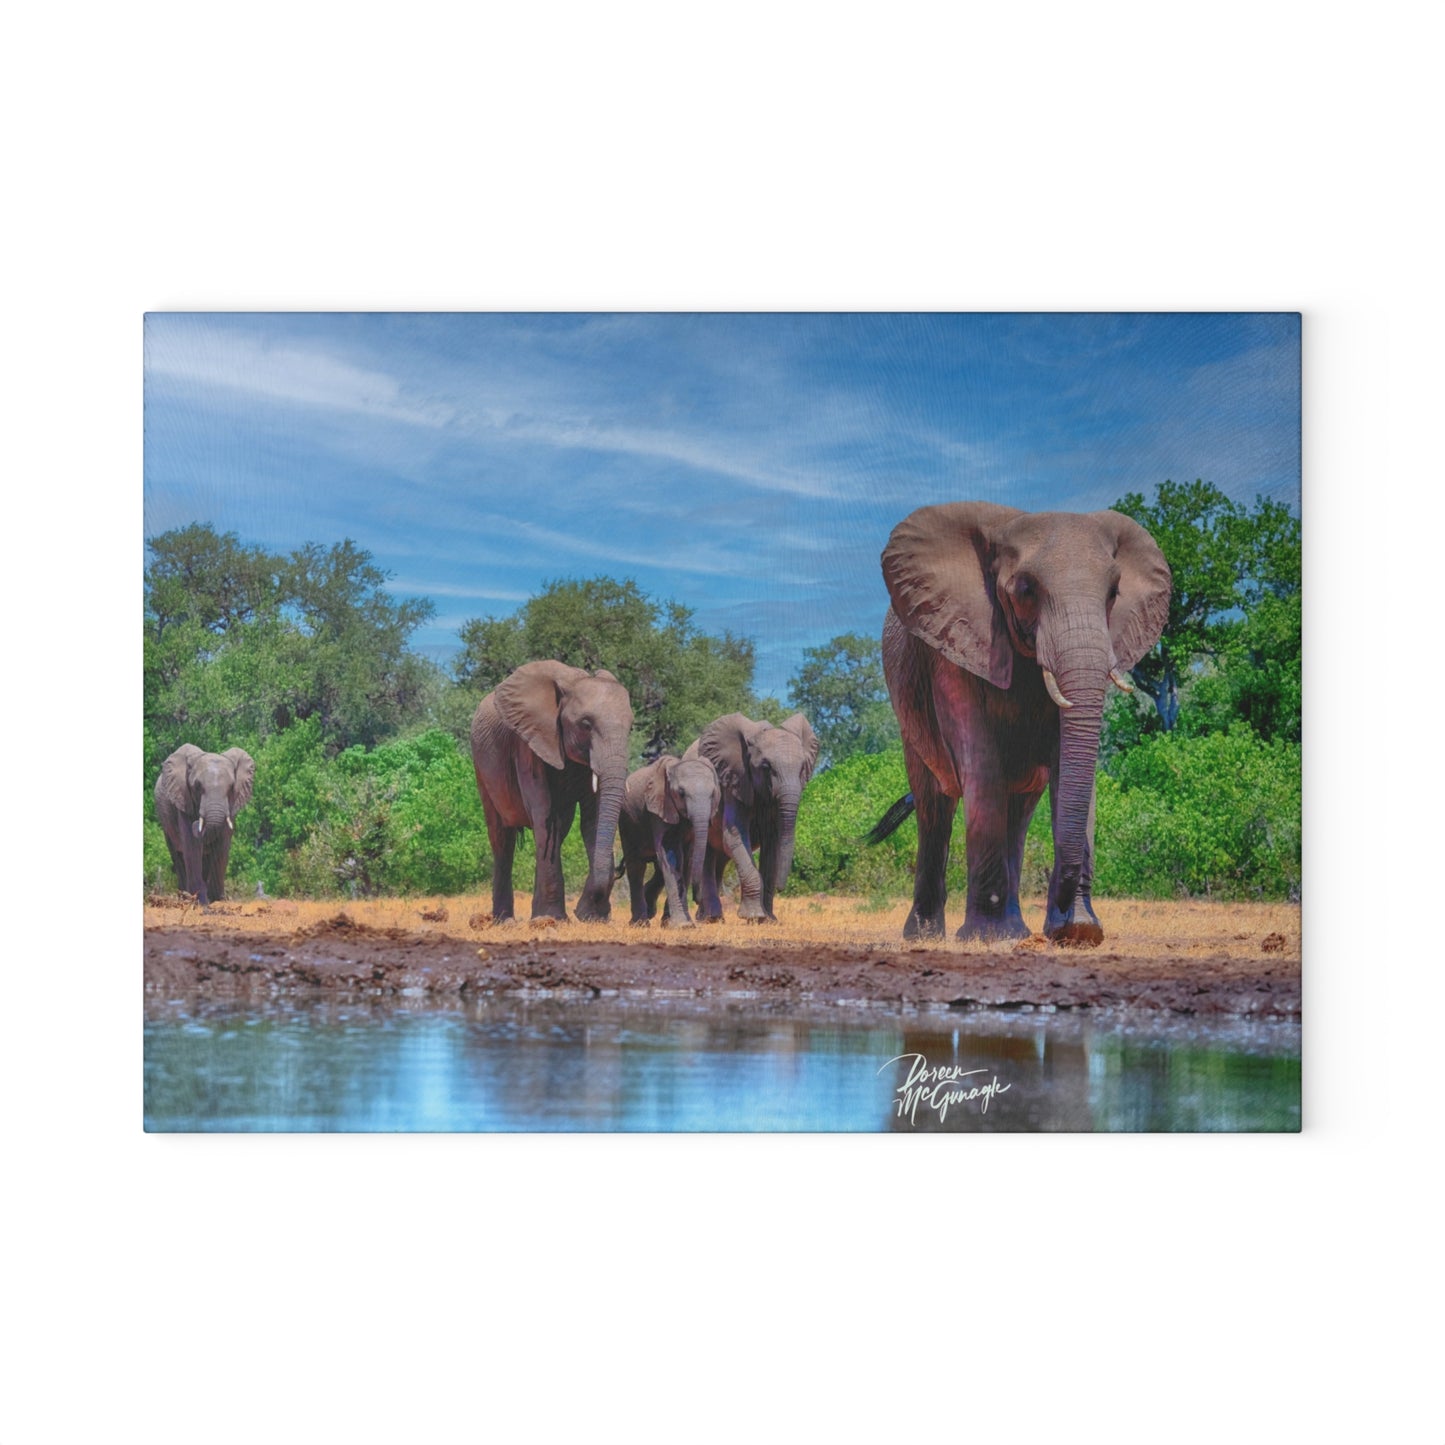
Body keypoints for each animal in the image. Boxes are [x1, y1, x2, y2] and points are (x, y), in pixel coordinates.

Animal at [154, 744, 256, 904]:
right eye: (197, 786)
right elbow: (191, 845)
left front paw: (218, 900)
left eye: (231, 787)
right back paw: (185, 896)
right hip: (165, 823)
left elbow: (223, 845)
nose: (197, 823)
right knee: (177, 855)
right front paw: (198, 900)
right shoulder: (184, 800)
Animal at [470, 660, 634, 922]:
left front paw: (591, 917)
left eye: (631, 729)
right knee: (502, 838)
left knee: (556, 830)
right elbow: (542, 811)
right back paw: (504, 920)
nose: (580, 911)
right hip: (481, 766)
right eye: (586, 725)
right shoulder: (527, 743)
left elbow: (592, 819)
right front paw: (555, 918)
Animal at [617, 754, 723, 927]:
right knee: (636, 866)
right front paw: (682, 925)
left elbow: (687, 860)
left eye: (713, 793)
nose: (697, 899)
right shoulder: (659, 806)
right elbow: (670, 854)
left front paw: (681, 924)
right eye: (681, 793)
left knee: (658, 868)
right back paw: (640, 923)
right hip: (627, 821)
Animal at [684, 712, 819, 923]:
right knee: (707, 854)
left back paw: (708, 917)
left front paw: (769, 919)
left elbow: (773, 842)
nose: (782, 888)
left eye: (802, 768)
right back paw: (711, 918)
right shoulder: (734, 781)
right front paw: (754, 916)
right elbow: (735, 835)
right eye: (766, 766)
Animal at [870, 501, 1171, 946]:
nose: (1066, 920)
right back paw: (927, 937)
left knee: (1020, 809)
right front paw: (986, 937)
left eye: (1114, 593)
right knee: (934, 805)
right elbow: (981, 762)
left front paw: (1079, 930)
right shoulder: (955, 645)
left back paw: (1016, 930)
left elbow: (1068, 767)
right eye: (1026, 590)